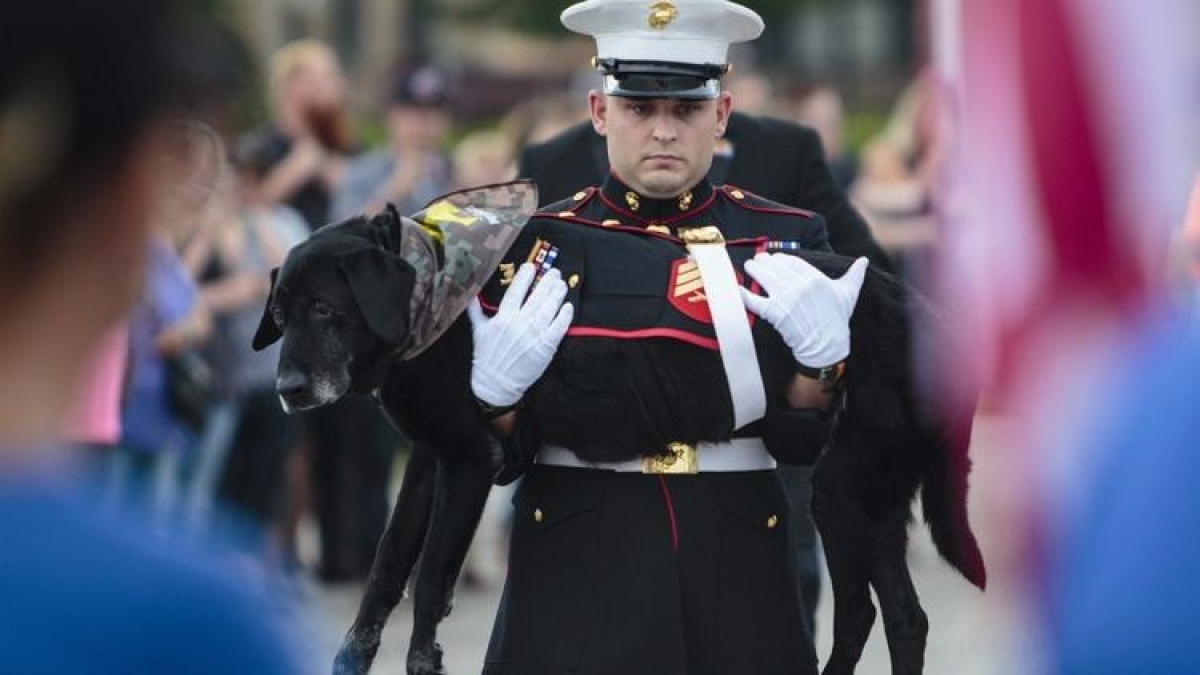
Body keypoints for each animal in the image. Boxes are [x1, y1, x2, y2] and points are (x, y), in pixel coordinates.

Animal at [253, 183, 984, 672]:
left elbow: (430, 585)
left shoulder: (468, 461)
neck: (435, 283)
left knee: (869, 611)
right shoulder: (432, 459)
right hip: (862, 497)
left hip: (843, 492)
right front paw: (352, 651)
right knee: (898, 617)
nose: (288, 392)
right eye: (282, 313)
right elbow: (385, 569)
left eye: (326, 308)